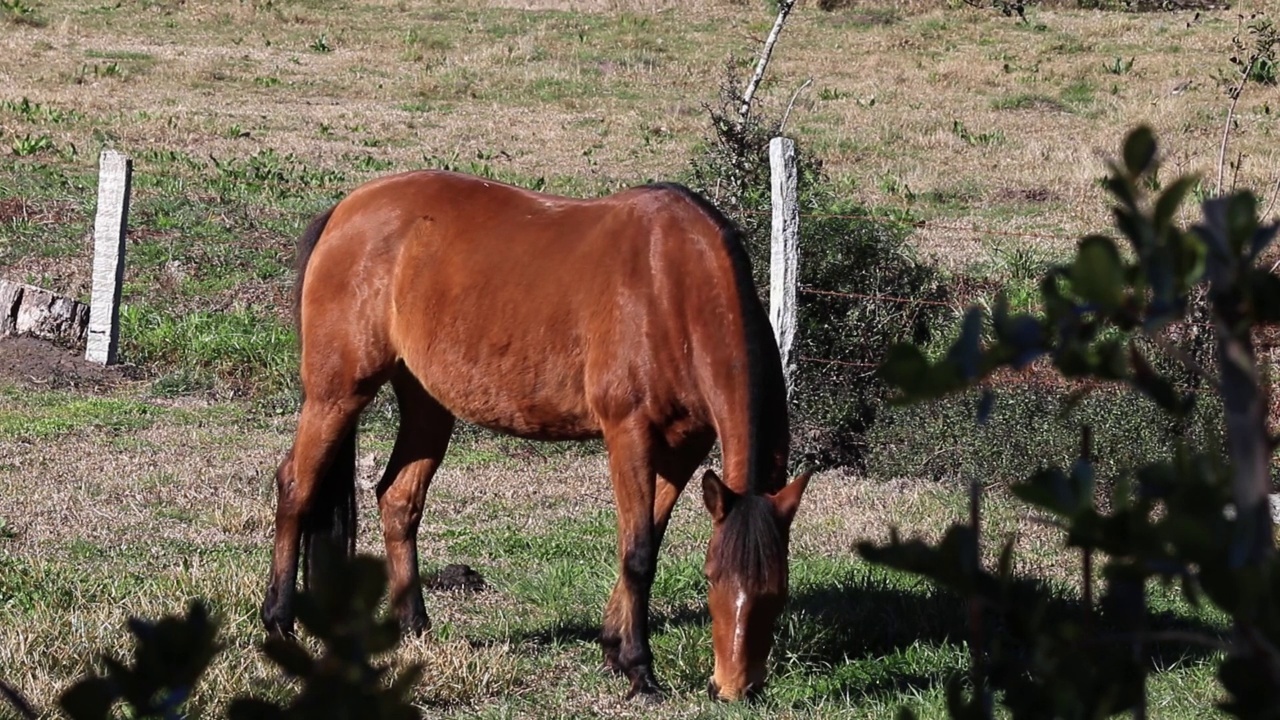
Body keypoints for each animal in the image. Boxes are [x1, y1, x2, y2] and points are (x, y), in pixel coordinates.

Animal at [259, 166, 808, 696]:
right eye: (712, 578)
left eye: (778, 590)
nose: (734, 688)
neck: (672, 284)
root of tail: (345, 209)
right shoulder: (629, 434)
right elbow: (637, 554)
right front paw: (639, 670)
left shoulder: (684, 448)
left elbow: (648, 538)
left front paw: (614, 647)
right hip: (337, 394)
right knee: (297, 487)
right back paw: (279, 622)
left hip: (426, 404)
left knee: (398, 499)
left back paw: (416, 626)